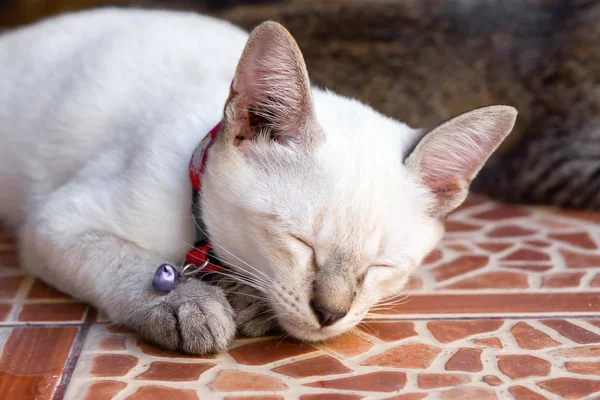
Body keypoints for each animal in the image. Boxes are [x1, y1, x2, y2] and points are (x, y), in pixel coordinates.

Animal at [0, 8, 516, 354]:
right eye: (300, 243)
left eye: (380, 267)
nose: (330, 314)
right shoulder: (57, 223)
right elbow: (132, 263)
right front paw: (190, 305)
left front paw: (247, 301)